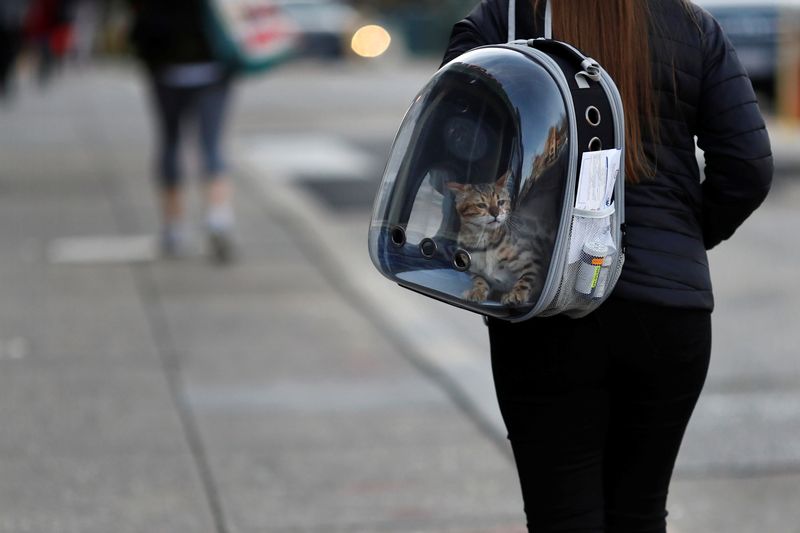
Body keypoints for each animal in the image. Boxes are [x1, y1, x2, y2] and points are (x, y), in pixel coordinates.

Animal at [446, 172, 548, 306]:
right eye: (481, 205)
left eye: (501, 202)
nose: (496, 214)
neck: (483, 242)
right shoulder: (474, 270)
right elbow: (480, 280)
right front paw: (477, 291)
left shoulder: (531, 260)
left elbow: (526, 279)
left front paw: (516, 294)